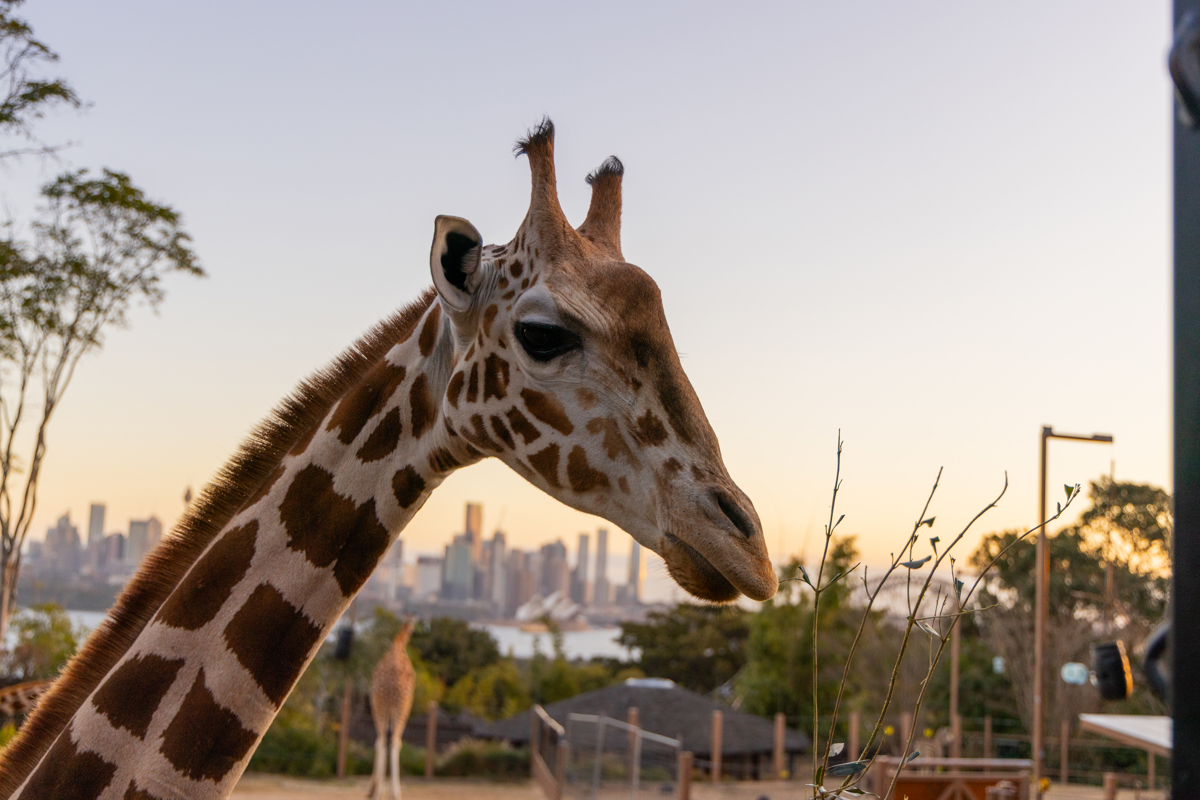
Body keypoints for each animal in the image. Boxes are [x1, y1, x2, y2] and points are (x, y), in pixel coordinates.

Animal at [365, 619, 415, 800]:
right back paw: (392, 793)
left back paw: (381, 791)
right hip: (396, 707)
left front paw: (374, 788)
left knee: (383, 740)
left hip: (383, 707)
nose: (412, 630)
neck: (398, 644)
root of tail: (391, 688)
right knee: (392, 741)